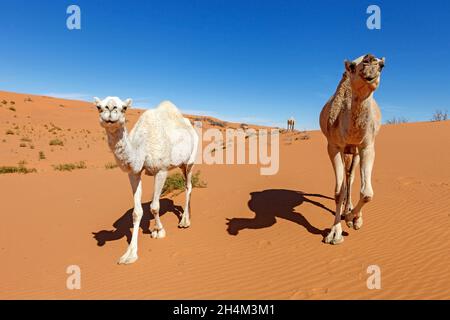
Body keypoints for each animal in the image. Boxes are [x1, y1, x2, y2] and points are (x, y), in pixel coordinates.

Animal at [94, 96, 199, 264]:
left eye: (124, 107)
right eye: (98, 107)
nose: (110, 109)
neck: (141, 145)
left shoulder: (161, 170)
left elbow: (154, 206)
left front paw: (158, 231)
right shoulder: (134, 173)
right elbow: (137, 212)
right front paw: (130, 254)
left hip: (190, 161)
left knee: (188, 186)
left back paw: (184, 222)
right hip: (181, 164)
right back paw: (187, 215)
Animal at [318, 54, 384, 245]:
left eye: (382, 65)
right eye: (353, 66)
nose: (370, 59)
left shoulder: (367, 146)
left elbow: (367, 192)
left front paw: (352, 219)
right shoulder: (333, 146)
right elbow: (338, 191)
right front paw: (335, 233)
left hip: (354, 151)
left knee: (351, 177)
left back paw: (351, 212)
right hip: (346, 150)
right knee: (347, 179)